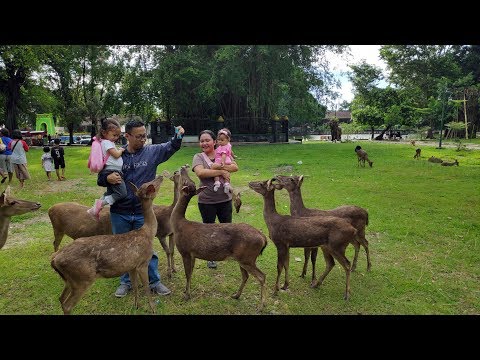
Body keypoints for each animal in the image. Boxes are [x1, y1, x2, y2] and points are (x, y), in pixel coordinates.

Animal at [50, 176, 163, 314]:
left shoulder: (131, 265)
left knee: (61, 298)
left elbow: (135, 286)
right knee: (67, 305)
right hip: (82, 278)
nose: (160, 176)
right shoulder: (143, 262)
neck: (148, 232)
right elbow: (146, 287)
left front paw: (137, 306)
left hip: (69, 280)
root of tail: (54, 259)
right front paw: (153, 309)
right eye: (152, 184)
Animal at [172, 165, 270, 310]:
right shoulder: (193, 254)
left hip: (247, 257)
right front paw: (186, 291)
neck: (178, 224)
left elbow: (187, 274)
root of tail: (264, 238)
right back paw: (236, 295)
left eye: (186, 181)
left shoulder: (185, 251)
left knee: (262, 276)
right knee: (246, 276)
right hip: (243, 258)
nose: (183, 167)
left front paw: (186, 295)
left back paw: (261, 305)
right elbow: (190, 273)